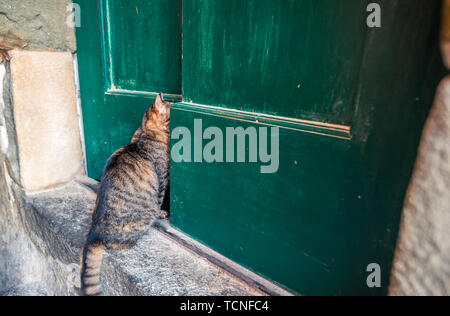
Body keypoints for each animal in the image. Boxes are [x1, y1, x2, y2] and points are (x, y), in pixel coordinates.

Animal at [80, 94, 171, 296]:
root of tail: (94, 234)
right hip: (140, 220)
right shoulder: (162, 180)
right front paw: (162, 213)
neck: (147, 136)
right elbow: (160, 200)